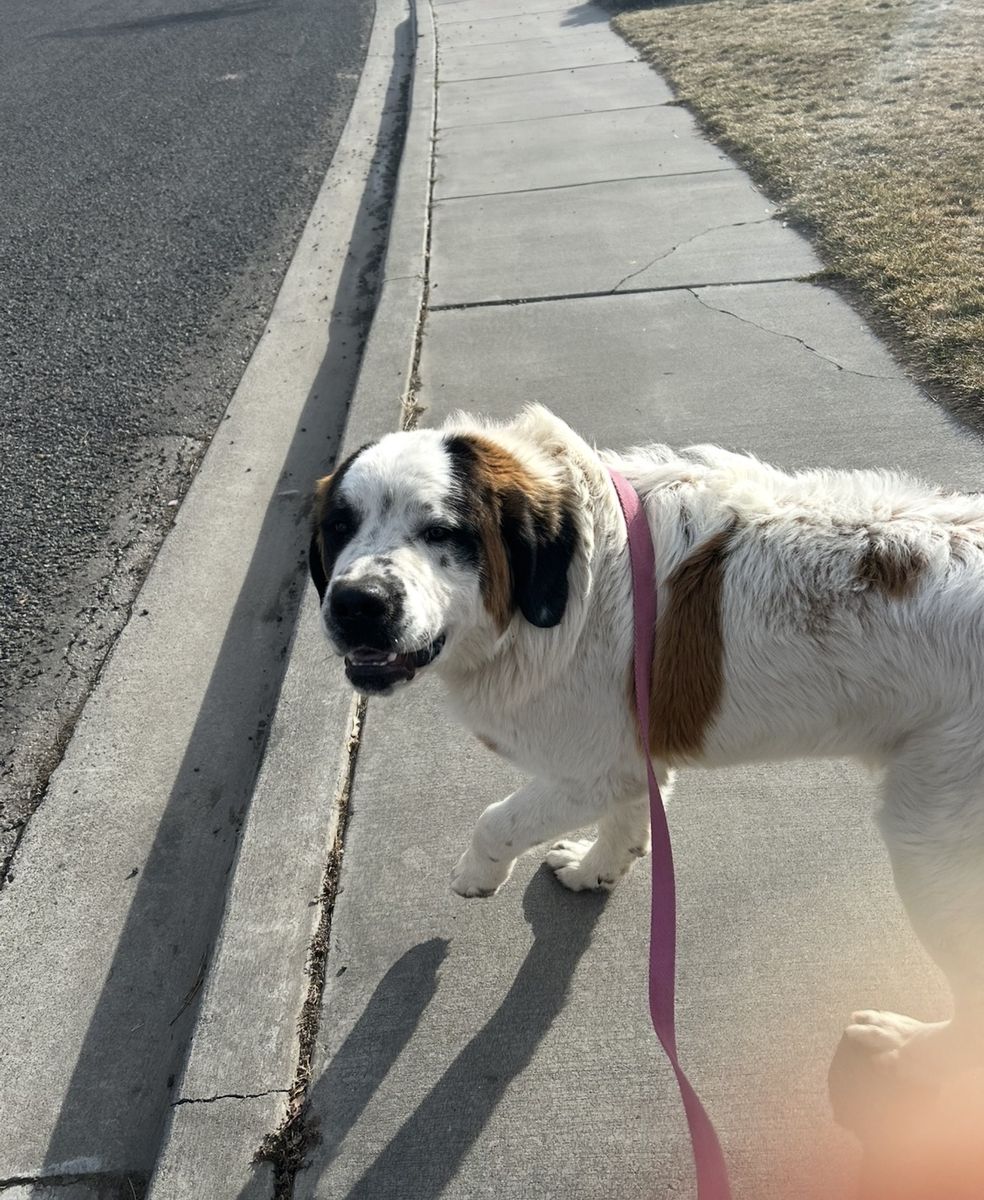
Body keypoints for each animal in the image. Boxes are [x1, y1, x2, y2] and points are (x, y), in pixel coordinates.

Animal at [308, 405, 984, 1086]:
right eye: (339, 526)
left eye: (441, 531)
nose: (357, 604)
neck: (571, 582)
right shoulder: (631, 765)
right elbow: (628, 819)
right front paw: (593, 870)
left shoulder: (587, 773)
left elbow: (496, 819)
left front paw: (478, 875)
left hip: (933, 845)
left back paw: (905, 1045)